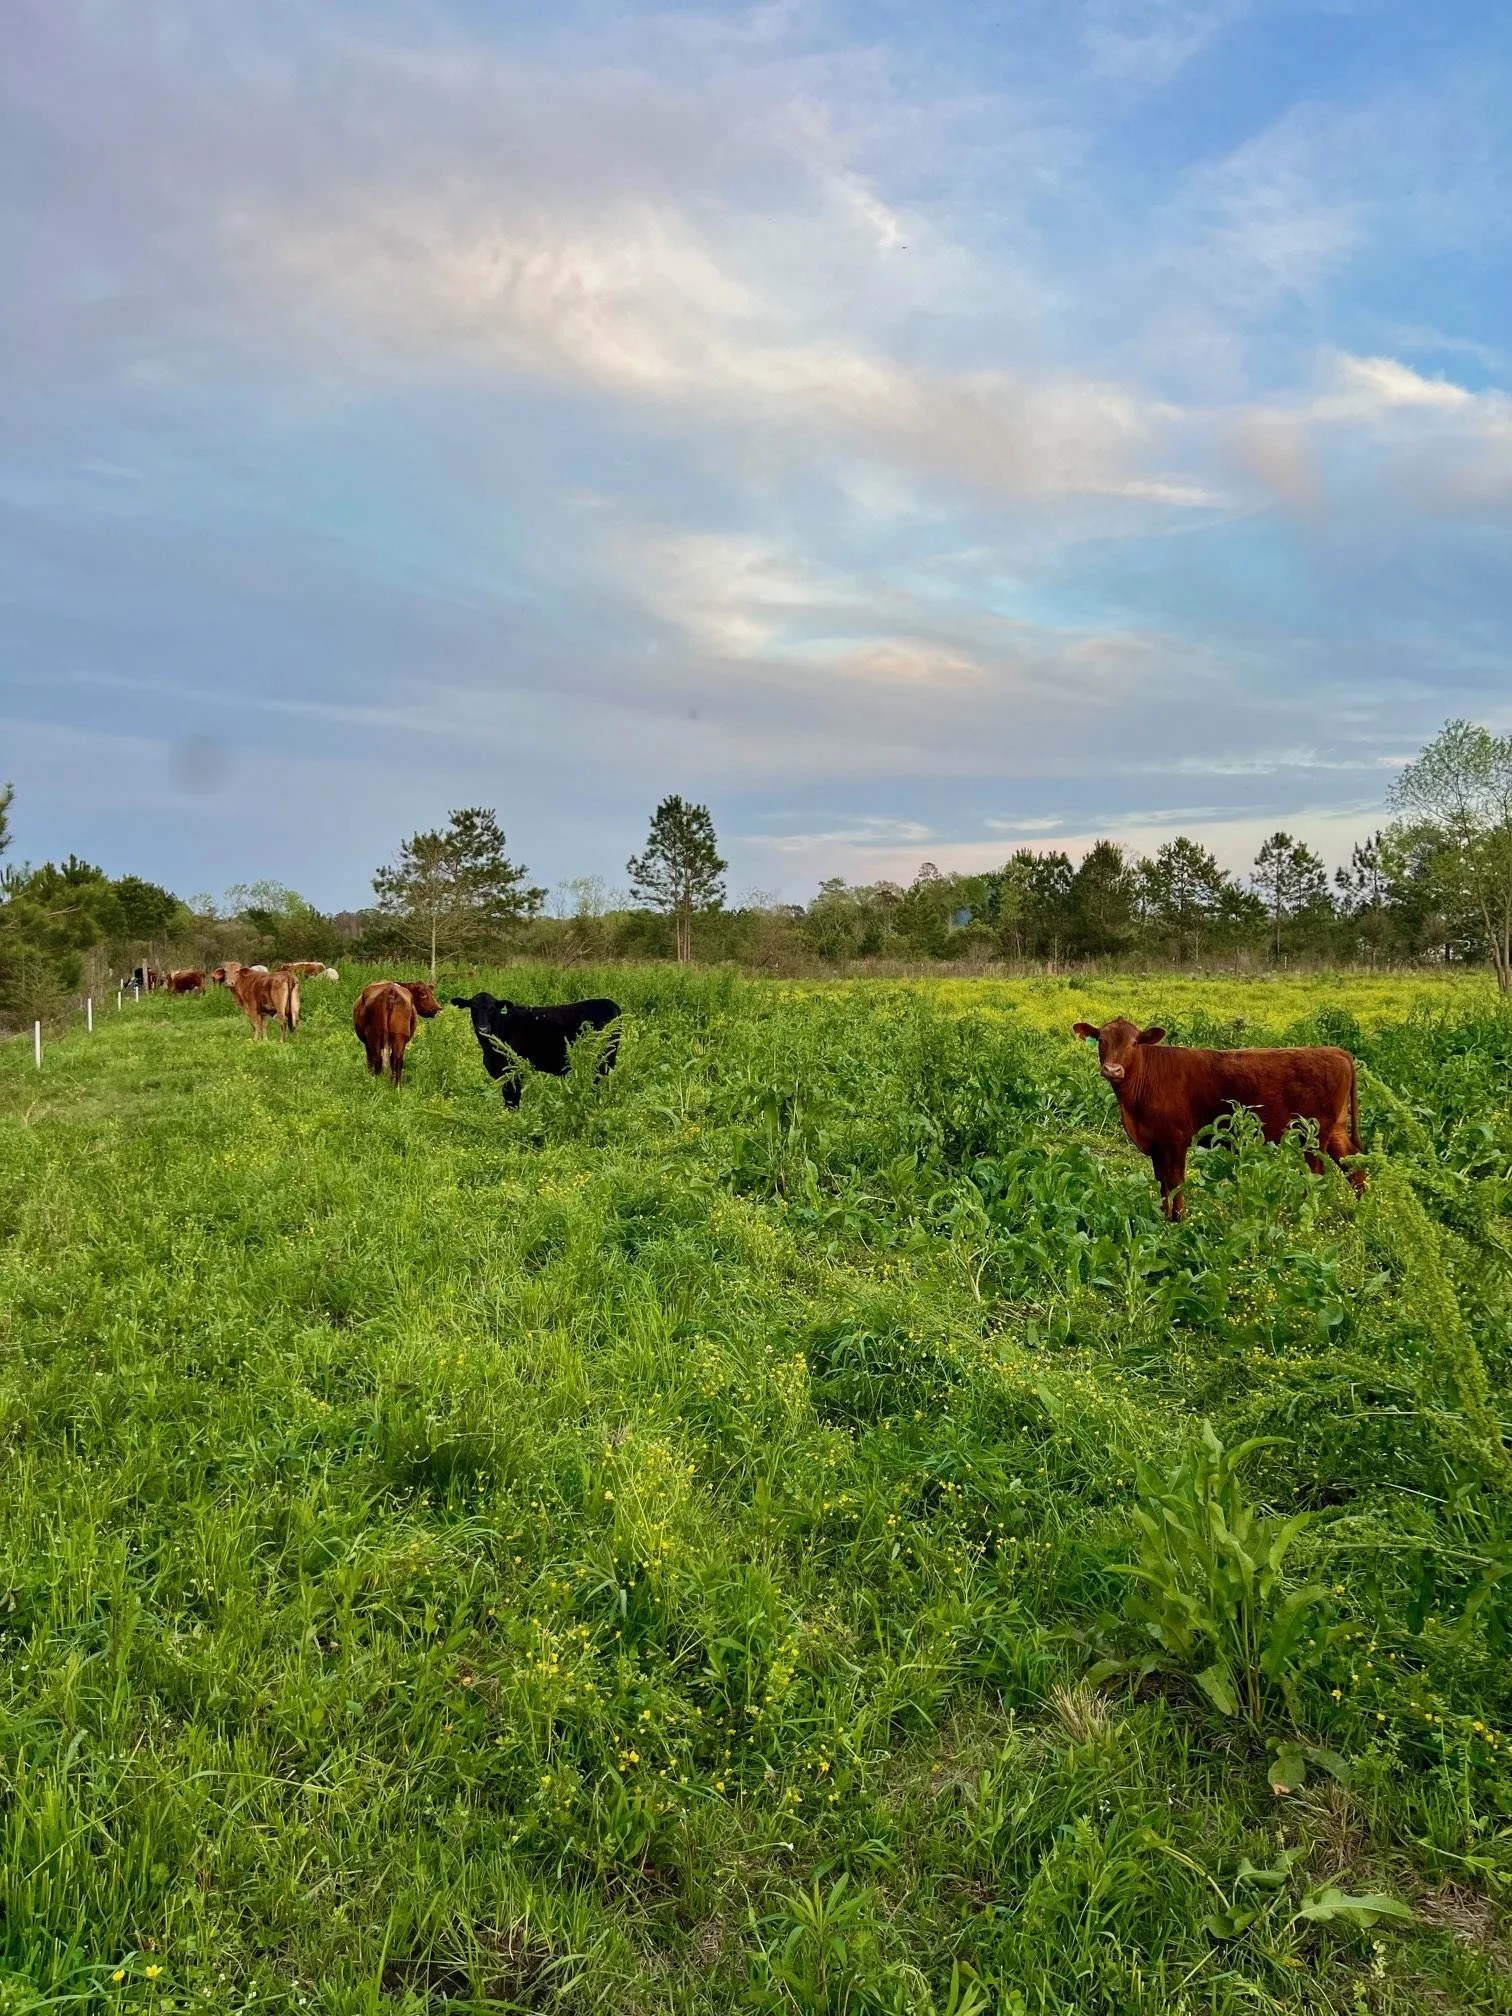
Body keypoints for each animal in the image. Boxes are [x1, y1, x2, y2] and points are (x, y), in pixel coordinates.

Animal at [450, 992, 621, 1107]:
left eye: (492, 1008)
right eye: (473, 1008)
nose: (483, 1028)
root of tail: (609, 1003)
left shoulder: (514, 1069)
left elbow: (513, 1100)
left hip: (603, 1059)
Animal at [1073, 1017, 1364, 1220]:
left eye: (1134, 1043)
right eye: (1101, 1040)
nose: (1112, 1069)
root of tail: (1336, 1051)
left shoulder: (1175, 1139)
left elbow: (1175, 1180)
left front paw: (1179, 1219)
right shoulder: (1156, 1141)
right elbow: (1162, 1182)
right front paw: (1164, 1216)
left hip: (1313, 1134)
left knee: (1316, 1173)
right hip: (1335, 1129)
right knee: (1353, 1163)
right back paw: (1361, 1211)